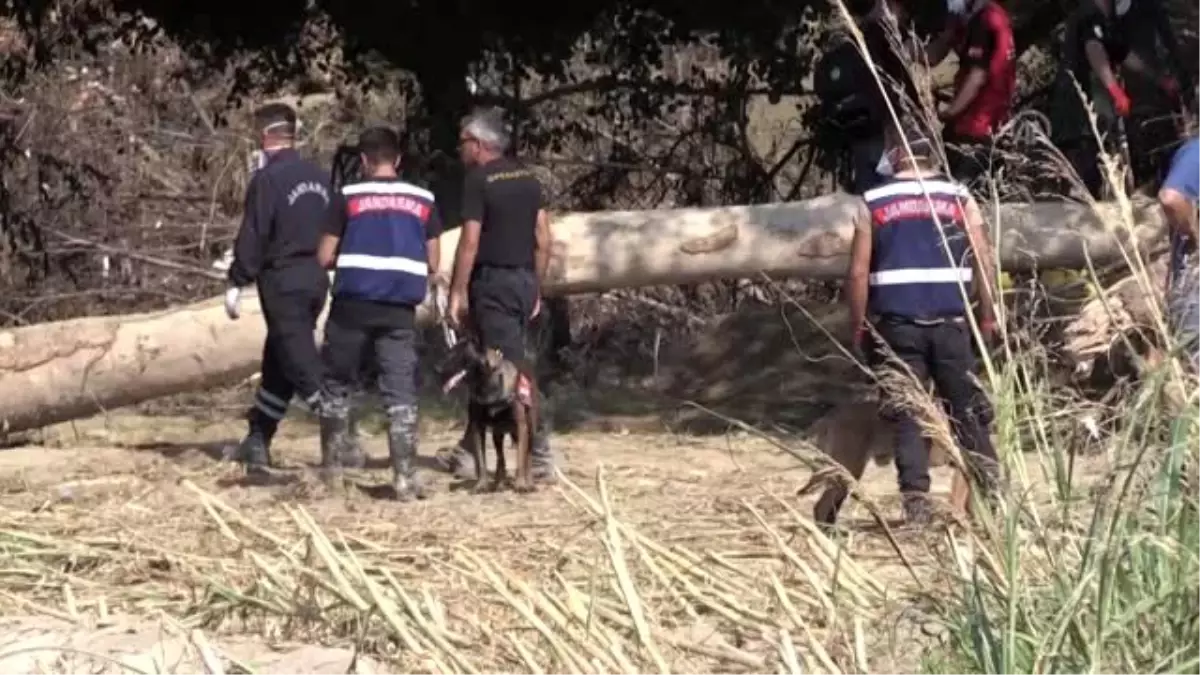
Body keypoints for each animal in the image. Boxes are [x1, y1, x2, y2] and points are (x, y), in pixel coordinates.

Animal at [439, 338, 537, 492]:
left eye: (457, 353)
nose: (436, 368)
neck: (487, 386)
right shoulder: (477, 427)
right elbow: (481, 460)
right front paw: (481, 485)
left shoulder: (521, 426)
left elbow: (521, 458)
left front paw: (521, 484)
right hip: (498, 434)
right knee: (500, 457)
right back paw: (499, 483)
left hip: (530, 429)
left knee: (527, 456)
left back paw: (529, 483)